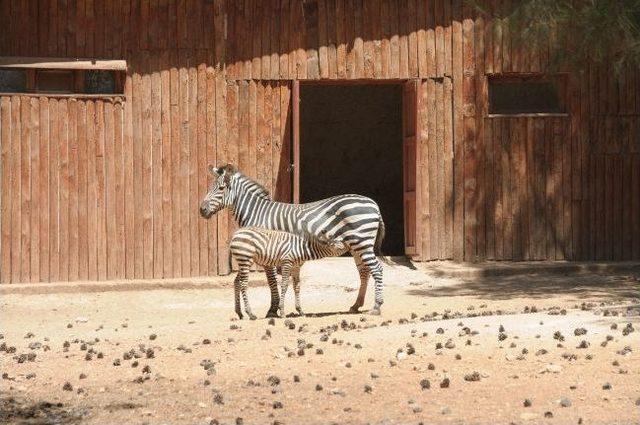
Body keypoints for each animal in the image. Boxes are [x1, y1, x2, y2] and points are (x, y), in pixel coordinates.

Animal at [200, 162, 388, 314]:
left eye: (221, 188)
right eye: (211, 187)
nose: (202, 210)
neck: (257, 212)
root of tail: (373, 204)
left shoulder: (268, 250)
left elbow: (272, 281)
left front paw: (273, 309)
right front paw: (277, 308)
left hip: (362, 242)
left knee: (377, 269)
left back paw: (377, 306)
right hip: (356, 245)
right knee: (364, 272)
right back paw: (356, 305)